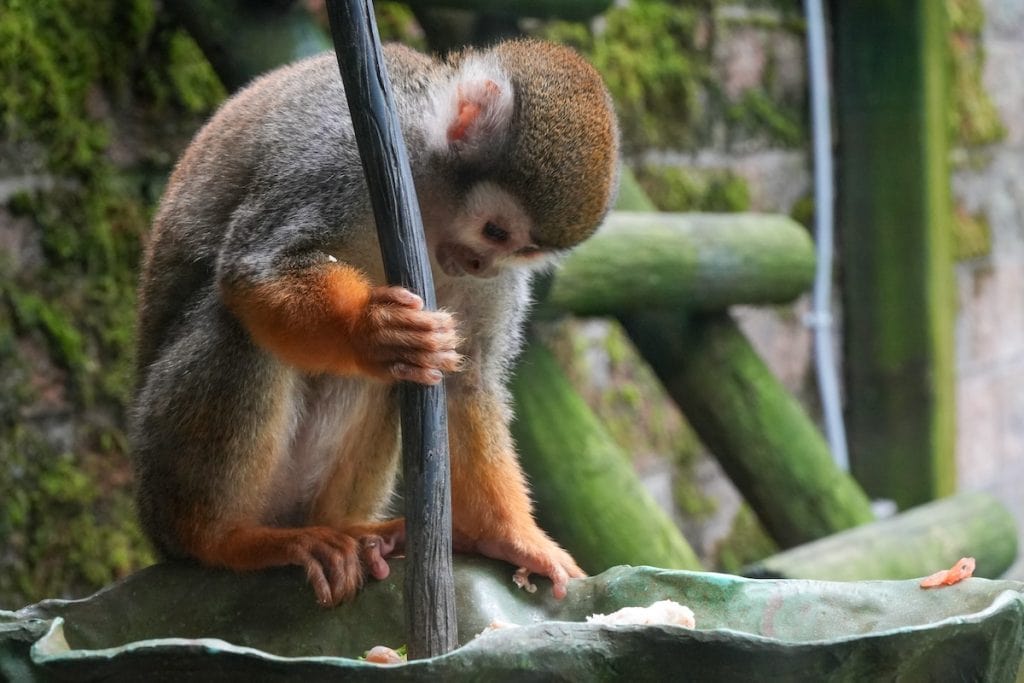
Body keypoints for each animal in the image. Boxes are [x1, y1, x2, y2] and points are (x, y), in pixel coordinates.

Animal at [132, 40, 618, 606]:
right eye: (495, 231)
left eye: (524, 251)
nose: (482, 265)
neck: (428, 192)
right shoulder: (344, 158)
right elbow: (259, 269)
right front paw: (372, 333)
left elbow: (466, 379)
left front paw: (509, 538)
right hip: (157, 483)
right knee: (238, 328)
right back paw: (226, 539)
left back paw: (359, 534)